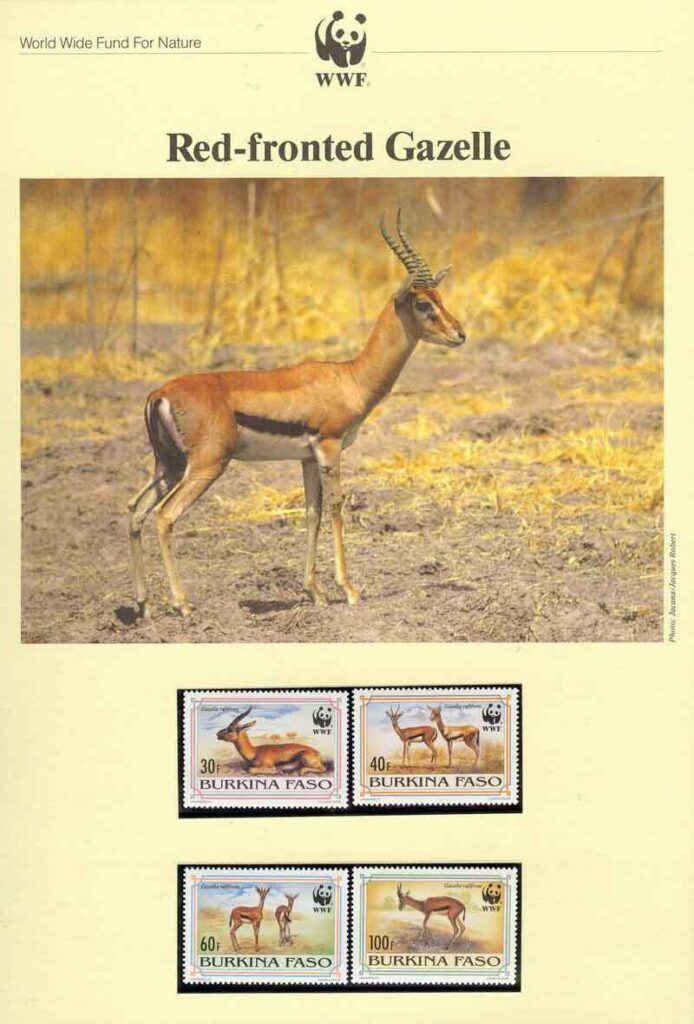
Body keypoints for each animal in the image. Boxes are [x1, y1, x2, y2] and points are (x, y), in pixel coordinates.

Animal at [127, 211, 466, 618]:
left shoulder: (306, 458)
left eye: (440, 298)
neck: (349, 378)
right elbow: (336, 507)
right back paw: (183, 605)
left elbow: (311, 513)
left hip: (170, 466)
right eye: (423, 304)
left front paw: (315, 593)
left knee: (135, 510)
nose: (460, 334)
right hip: (206, 466)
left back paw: (144, 606)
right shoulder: (330, 447)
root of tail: (158, 394)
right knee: (165, 515)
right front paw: (349, 590)